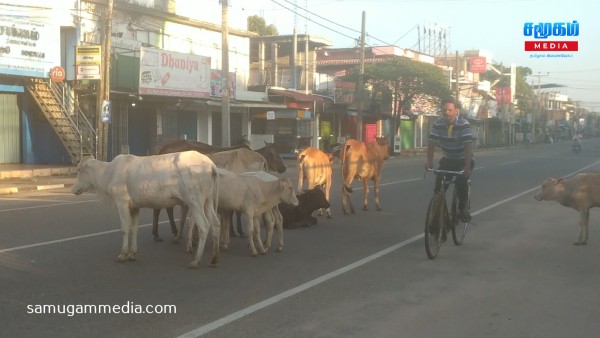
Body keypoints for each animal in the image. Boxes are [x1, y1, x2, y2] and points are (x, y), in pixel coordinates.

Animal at [71, 151, 220, 270]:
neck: (108, 173)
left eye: (78, 170)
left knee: (204, 226)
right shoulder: (134, 207)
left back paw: (196, 260)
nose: (73, 189)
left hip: (194, 202)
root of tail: (210, 164)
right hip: (207, 201)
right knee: (215, 223)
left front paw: (123, 254)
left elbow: (125, 228)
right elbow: (134, 229)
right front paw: (132, 253)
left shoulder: (121, 202)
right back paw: (214, 259)